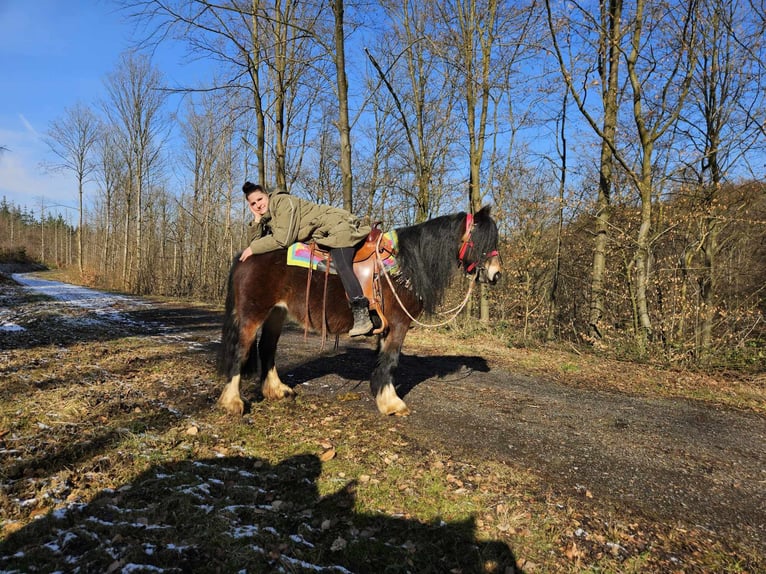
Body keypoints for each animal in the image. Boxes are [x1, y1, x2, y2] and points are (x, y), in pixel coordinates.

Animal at [216, 207, 504, 418]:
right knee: (241, 350)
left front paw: (382, 395)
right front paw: (392, 404)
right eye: (480, 240)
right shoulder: (399, 324)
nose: (495, 274)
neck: (405, 265)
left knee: (267, 348)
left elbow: (383, 360)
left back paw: (276, 390)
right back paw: (233, 402)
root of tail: (245, 254)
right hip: (253, 314)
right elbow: (391, 360)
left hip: (277, 313)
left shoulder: (388, 327)